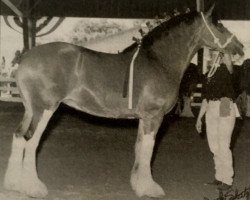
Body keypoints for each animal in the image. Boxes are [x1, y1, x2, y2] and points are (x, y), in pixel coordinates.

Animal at [3, 6, 243, 198]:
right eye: (219, 25)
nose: (240, 47)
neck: (159, 62)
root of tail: (25, 58)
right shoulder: (153, 116)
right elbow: (148, 149)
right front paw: (150, 188)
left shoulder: (144, 118)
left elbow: (139, 148)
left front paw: (138, 185)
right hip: (44, 109)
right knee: (30, 141)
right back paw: (34, 188)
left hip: (30, 111)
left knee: (18, 137)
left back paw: (13, 184)